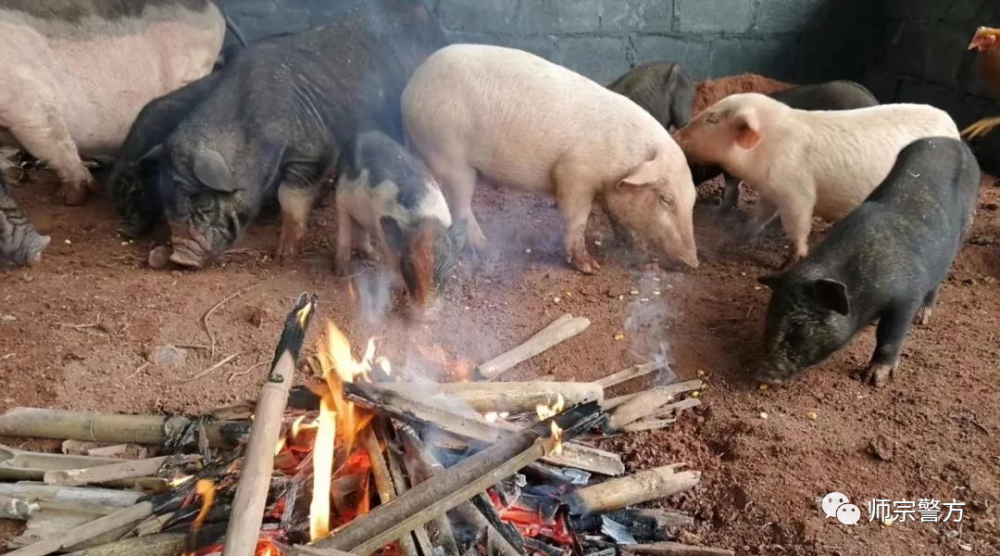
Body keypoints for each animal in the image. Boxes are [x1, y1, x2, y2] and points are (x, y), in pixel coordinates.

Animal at [334, 131, 462, 322]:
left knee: (362, 230)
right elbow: (392, 260)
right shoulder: (381, 223)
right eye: (410, 266)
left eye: (448, 267)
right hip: (340, 199)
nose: (427, 316)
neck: (426, 218)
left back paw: (374, 256)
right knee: (344, 229)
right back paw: (341, 270)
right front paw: (398, 287)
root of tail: (360, 134)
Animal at [398, 43, 696, 274]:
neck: (621, 160)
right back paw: (490, 251)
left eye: (692, 198)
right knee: (459, 207)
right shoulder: (575, 173)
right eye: (666, 199)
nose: (693, 263)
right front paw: (590, 268)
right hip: (448, 154)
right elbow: (576, 217)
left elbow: (614, 214)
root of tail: (411, 87)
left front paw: (630, 245)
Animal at [676, 94, 956, 268]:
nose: (677, 134)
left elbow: (798, 226)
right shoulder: (771, 191)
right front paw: (734, 238)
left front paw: (787, 263)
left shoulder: (798, 193)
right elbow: (759, 218)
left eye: (712, 119)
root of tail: (952, 126)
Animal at [756, 138, 976, 386]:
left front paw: (874, 379)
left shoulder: (907, 296)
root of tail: (952, 141)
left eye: (798, 328)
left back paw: (922, 319)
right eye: (769, 321)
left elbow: (889, 336)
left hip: (963, 230)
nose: (762, 375)